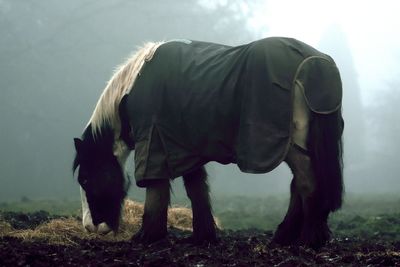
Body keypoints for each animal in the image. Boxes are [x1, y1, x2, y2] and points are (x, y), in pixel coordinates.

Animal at [72, 37, 344, 249]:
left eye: (84, 179)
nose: (90, 226)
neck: (133, 89)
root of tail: (316, 61)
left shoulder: (153, 141)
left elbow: (156, 188)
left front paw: (147, 236)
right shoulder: (183, 149)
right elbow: (197, 190)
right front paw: (203, 236)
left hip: (289, 145)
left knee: (307, 182)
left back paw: (309, 239)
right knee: (300, 183)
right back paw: (286, 236)